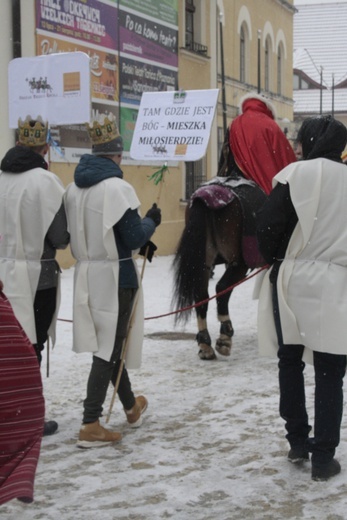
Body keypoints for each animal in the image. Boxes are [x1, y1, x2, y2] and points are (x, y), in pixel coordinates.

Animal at [173, 176, 268, 362]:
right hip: (238, 263)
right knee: (222, 289)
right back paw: (225, 337)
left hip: (204, 263)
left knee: (202, 295)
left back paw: (205, 344)